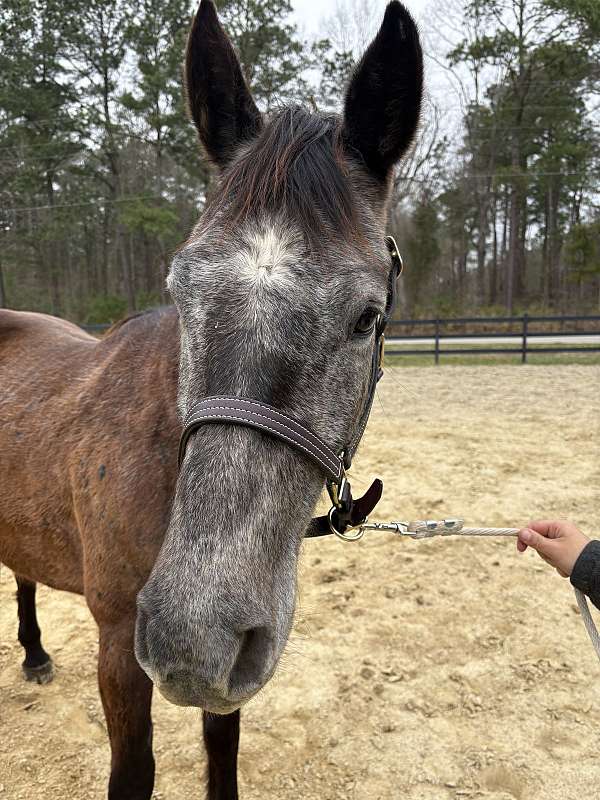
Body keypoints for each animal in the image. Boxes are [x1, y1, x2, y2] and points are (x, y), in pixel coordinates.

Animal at [0, 3, 422, 796]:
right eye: (180, 288)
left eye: (368, 317)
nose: (193, 637)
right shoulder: (118, 644)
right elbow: (134, 770)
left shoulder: (233, 664)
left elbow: (221, 746)